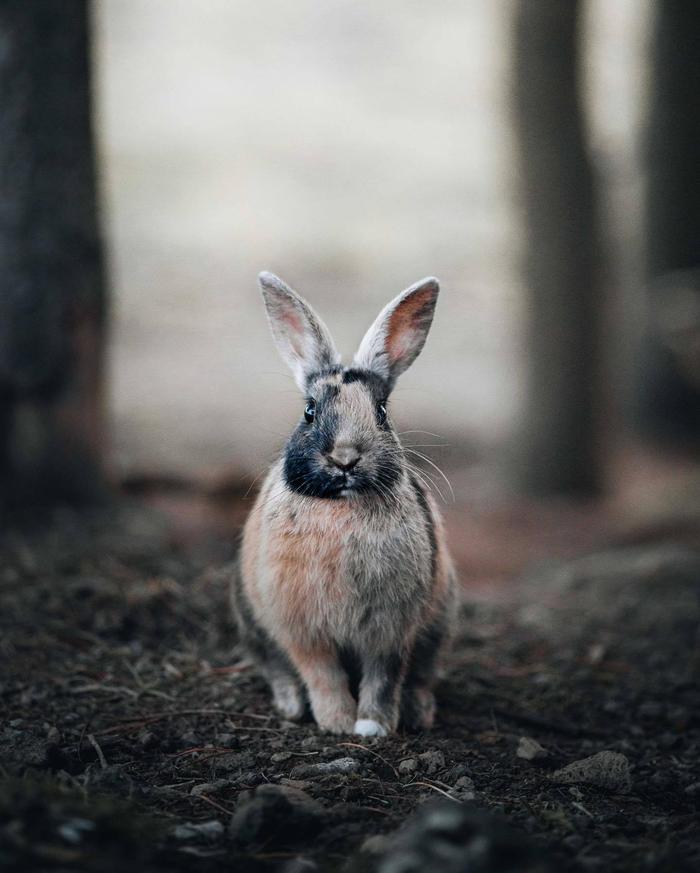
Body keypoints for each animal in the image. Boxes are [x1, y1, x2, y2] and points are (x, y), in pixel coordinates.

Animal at [232, 272, 456, 736]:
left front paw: (372, 726)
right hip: (252, 620)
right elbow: (322, 673)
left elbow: (383, 677)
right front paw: (336, 722)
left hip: (441, 623)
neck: (341, 506)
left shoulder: (391, 630)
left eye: (382, 412)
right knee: (276, 668)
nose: (345, 457)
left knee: (423, 674)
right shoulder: (302, 630)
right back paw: (290, 706)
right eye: (309, 411)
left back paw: (420, 711)